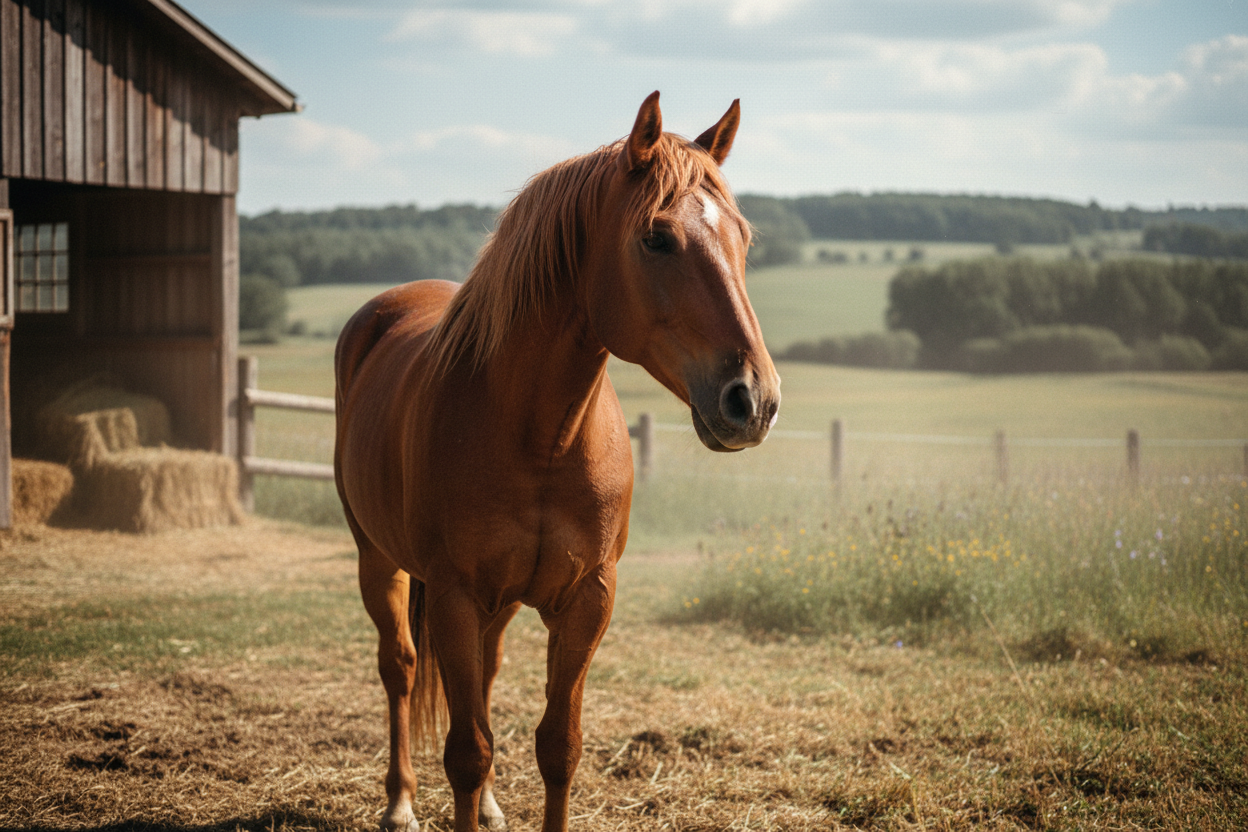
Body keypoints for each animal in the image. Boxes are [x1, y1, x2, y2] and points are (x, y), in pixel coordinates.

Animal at [333, 91, 781, 832]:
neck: (541, 438)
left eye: (744, 238)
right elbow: (466, 750)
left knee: (483, 675)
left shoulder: (587, 599)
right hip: (378, 559)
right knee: (399, 666)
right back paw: (399, 803)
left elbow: (557, 745)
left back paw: (488, 807)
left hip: (499, 603)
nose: (755, 400)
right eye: (656, 238)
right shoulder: (454, 595)